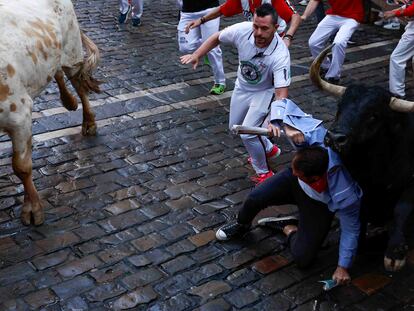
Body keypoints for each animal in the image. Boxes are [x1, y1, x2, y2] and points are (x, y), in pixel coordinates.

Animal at [0, 0, 100, 224]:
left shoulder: (19, 114)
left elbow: (21, 166)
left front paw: (33, 208)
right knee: (57, 72)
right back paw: (69, 101)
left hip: (72, 50)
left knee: (78, 82)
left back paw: (88, 121)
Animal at [310, 44, 414, 272]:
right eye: (340, 107)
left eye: (374, 115)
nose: (334, 138)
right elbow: (360, 211)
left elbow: (402, 210)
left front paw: (395, 254)